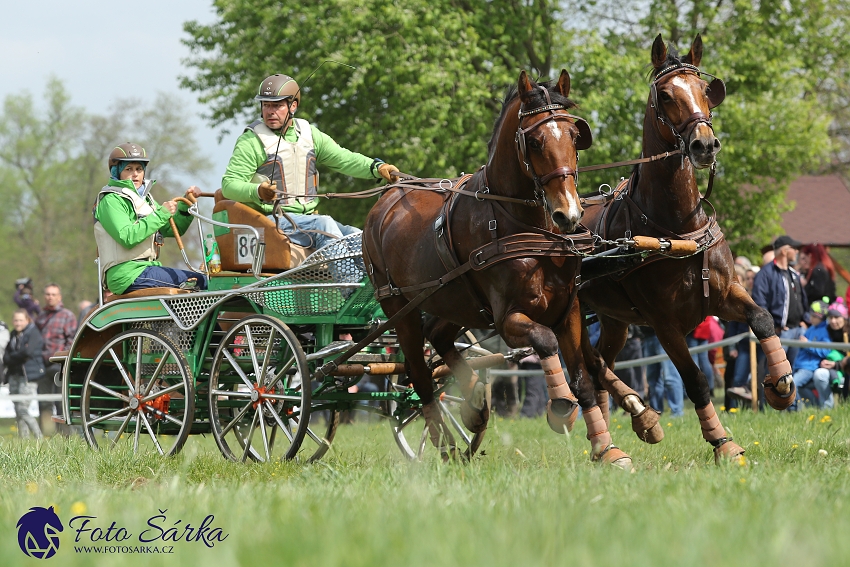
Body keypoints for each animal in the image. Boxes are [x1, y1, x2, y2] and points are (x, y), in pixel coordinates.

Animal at [362, 71, 632, 468]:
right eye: (533, 141)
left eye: (573, 134)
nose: (568, 214)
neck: (526, 226)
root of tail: (387, 200)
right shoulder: (508, 318)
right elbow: (544, 340)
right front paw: (560, 407)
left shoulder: (568, 309)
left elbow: (583, 378)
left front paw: (606, 448)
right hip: (400, 307)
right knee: (420, 375)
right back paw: (446, 444)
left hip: (456, 302)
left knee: (438, 337)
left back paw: (474, 405)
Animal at [576, 34, 796, 462]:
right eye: (665, 95)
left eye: (705, 91)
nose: (704, 145)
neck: (676, 230)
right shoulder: (664, 324)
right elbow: (695, 380)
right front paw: (722, 442)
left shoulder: (725, 294)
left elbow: (762, 318)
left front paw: (781, 384)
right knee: (587, 365)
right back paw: (637, 415)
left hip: (614, 319)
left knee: (598, 364)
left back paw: (616, 430)